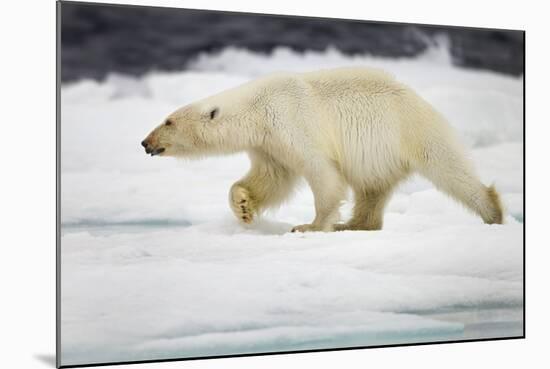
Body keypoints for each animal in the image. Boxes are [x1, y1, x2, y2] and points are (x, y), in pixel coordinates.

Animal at [142, 67, 504, 230]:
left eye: (168, 121)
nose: (146, 143)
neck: (257, 108)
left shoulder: (292, 121)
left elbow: (321, 172)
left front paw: (310, 226)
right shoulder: (268, 143)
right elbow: (272, 178)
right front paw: (243, 205)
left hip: (412, 131)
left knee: (449, 169)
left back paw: (493, 213)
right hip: (379, 153)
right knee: (372, 188)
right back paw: (356, 224)